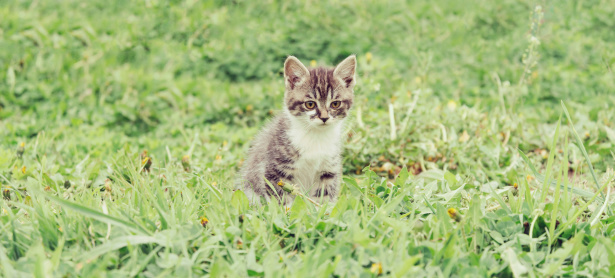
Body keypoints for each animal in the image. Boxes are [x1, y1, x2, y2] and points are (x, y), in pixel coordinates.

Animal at [239, 55, 358, 205]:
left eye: (335, 104)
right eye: (310, 104)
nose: (324, 117)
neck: (315, 136)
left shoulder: (328, 169)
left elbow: (323, 198)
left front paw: (321, 210)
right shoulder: (275, 170)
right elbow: (282, 199)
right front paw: (287, 210)